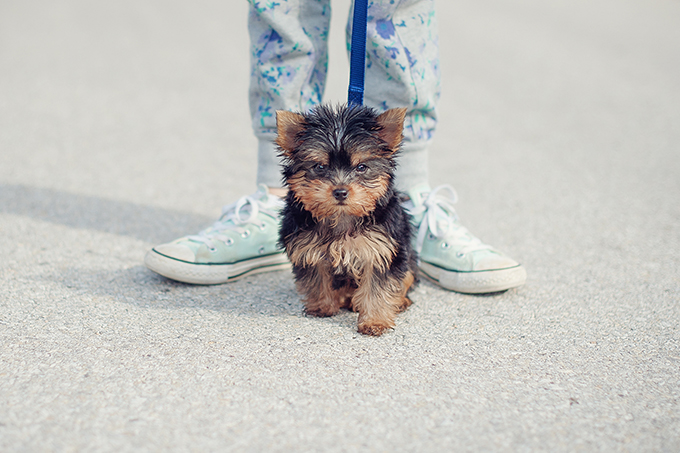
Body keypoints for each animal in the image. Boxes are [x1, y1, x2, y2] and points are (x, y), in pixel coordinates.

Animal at [278, 104, 418, 334]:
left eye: (361, 167)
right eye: (320, 167)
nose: (340, 191)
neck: (341, 216)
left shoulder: (380, 251)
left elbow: (377, 288)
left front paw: (374, 321)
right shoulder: (307, 248)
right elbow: (316, 278)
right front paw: (322, 306)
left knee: (406, 278)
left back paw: (400, 301)